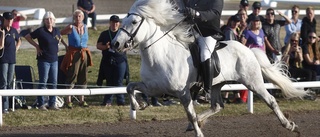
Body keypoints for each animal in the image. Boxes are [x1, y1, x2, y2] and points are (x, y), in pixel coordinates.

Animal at [111, 0, 308, 136]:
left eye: (134, 22)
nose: (115, 44)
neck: (160, 55)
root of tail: (247, 49)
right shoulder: (154, 88)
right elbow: (130, 87)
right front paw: (138, 105)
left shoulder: (183, 92)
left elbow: (190, 113)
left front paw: (198, 132)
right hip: (215, 85)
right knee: (218, 106)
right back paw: (195, 123)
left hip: (253, 82)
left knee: (271, 101)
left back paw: (290, 125)